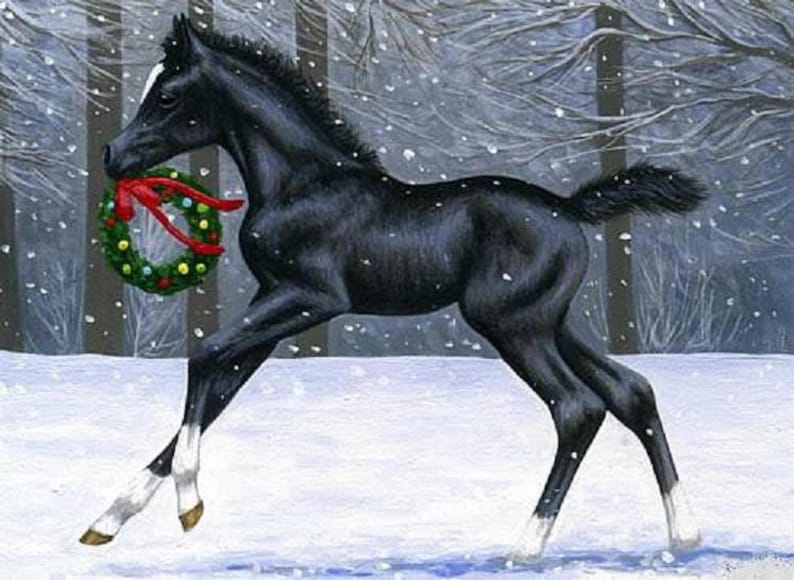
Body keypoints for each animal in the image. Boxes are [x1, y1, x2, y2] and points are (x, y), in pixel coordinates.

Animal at [81, 15, 706, 560]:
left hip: (512, 325)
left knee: (577, 407)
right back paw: (685, 532)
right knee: (631, 391)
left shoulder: (310, 299)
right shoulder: (272, 303)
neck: (301, 184)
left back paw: (526, 546)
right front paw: (108, 519)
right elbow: (217, 390)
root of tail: (569, 207)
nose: (113, 155)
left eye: (166, 96)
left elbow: (205, 355)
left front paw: (188, 504)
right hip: (554, 322)